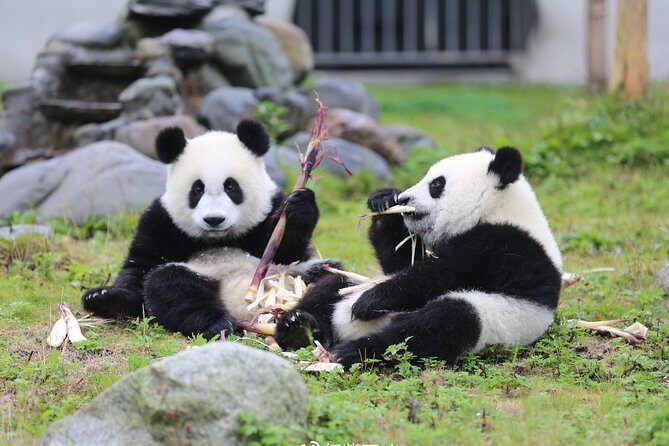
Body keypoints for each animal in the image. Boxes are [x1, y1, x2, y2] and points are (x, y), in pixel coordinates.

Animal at [82, 120, 329, 339]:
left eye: (231, 186)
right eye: (197, 189)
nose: (214, 219)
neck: (218, 239)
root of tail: (243, 310)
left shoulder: (269, 210)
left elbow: (288, 251)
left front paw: (299, 207)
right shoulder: (162, 222)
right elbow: (141, 266)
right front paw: (106, 298)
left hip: (294, 277)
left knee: (328, 281)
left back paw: (298, 324)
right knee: (170, 283)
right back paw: (218, 323)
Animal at [274, 146, 563, 369]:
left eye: (436, 184)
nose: (404, 198)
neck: (498, 209)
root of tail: (344, 329)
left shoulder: (505, 246)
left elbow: (443, 274)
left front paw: (370, 302)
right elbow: (401, 262)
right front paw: (384, 201)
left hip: (494, 316)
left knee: (437, 325)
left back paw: (355, 349)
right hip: (353, 282)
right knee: (330, 287)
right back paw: (298, 327)